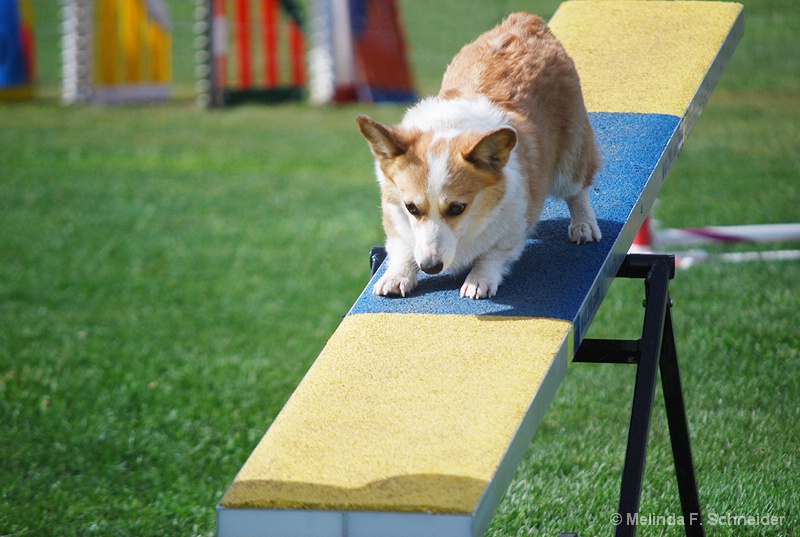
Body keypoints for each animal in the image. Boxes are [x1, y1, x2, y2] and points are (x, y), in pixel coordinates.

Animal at [356, 12, 600, 300]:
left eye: (457, 208)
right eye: (412, 208)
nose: (430, 267)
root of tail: (524, 20)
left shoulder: (514, 226)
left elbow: (493, 254)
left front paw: (478, 280)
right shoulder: (396, 218)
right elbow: (403, 246)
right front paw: (397, 275)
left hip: (571, 157)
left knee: (577, 190)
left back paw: (583, 226)